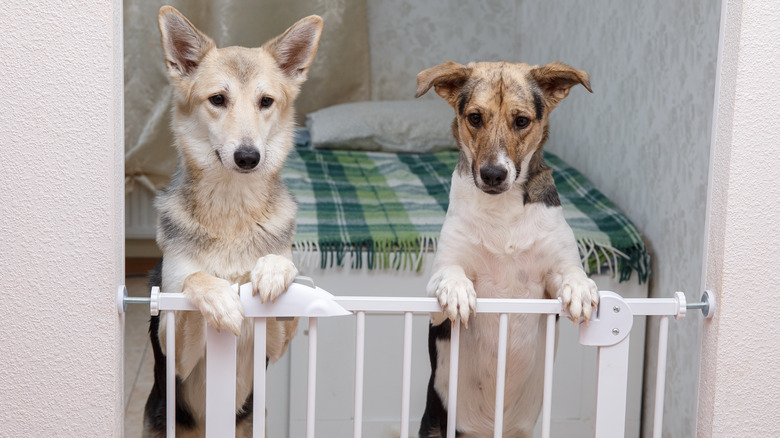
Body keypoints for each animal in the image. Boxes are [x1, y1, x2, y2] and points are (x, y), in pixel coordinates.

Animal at [142, 6, 322, 434]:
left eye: (266, 101)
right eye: (218, 100)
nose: (248, 157)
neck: (232, 211)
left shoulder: (273, 343)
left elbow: (282, 275)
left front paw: (272, 272)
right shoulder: (175, 352)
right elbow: (194, 278)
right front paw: (221, 298)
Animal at [420, 61, 596, 438]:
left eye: (521, 121)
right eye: (474, 117)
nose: (493, 174)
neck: (502, 211)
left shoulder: (551, 279)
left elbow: (571, 273)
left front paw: (581, 289)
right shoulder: (435, 304)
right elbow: (450, 275)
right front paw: (458, 291)